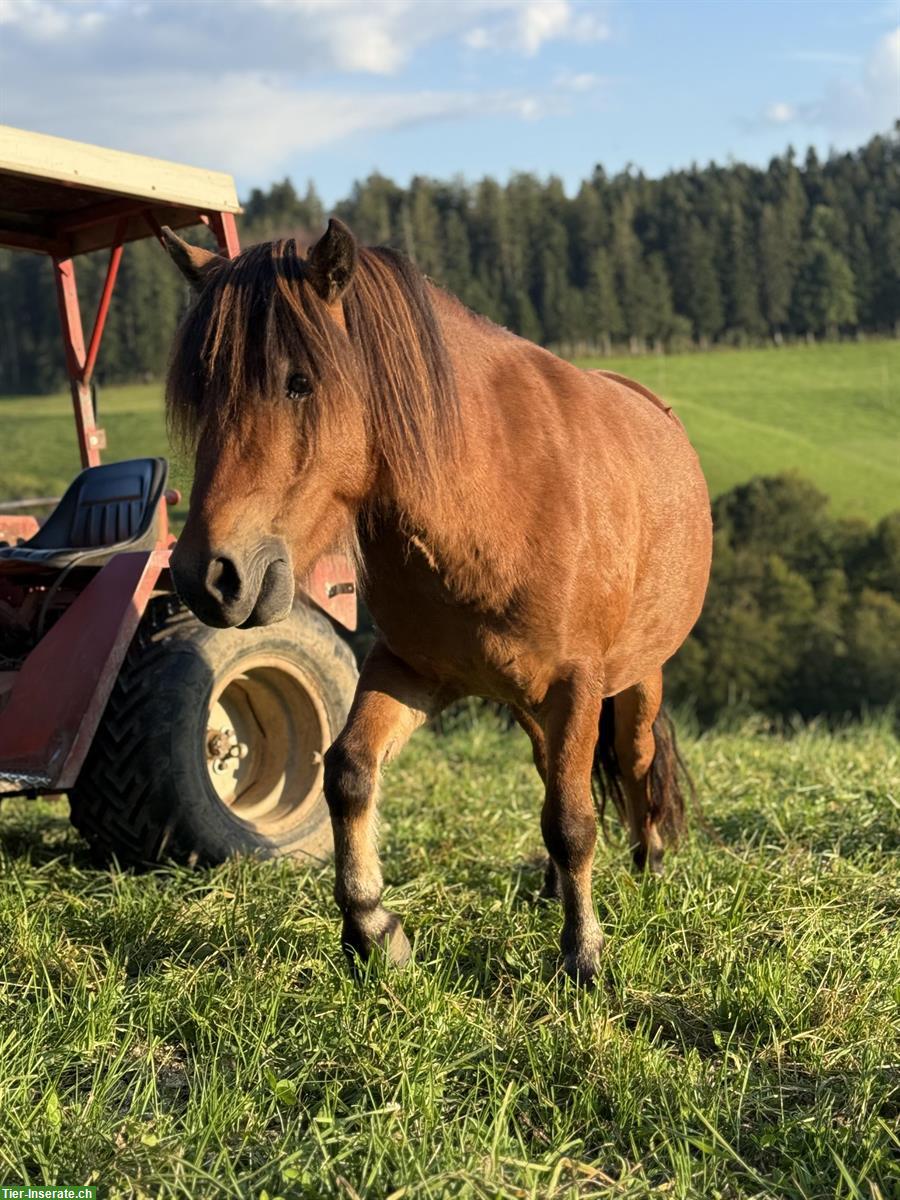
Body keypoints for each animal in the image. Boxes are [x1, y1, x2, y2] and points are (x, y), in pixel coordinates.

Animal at [160, 218, 710, 984]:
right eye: (203, 391)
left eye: (299, 384)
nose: (209, 576)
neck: (496, 489)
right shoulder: (411, 671)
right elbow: (349, 773)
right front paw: (371, 927)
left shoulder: (576, 684)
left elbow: (573, 821)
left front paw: (583, 954)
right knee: (551, 773)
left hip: (634, 681)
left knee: (631, 765)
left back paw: (648, 865)